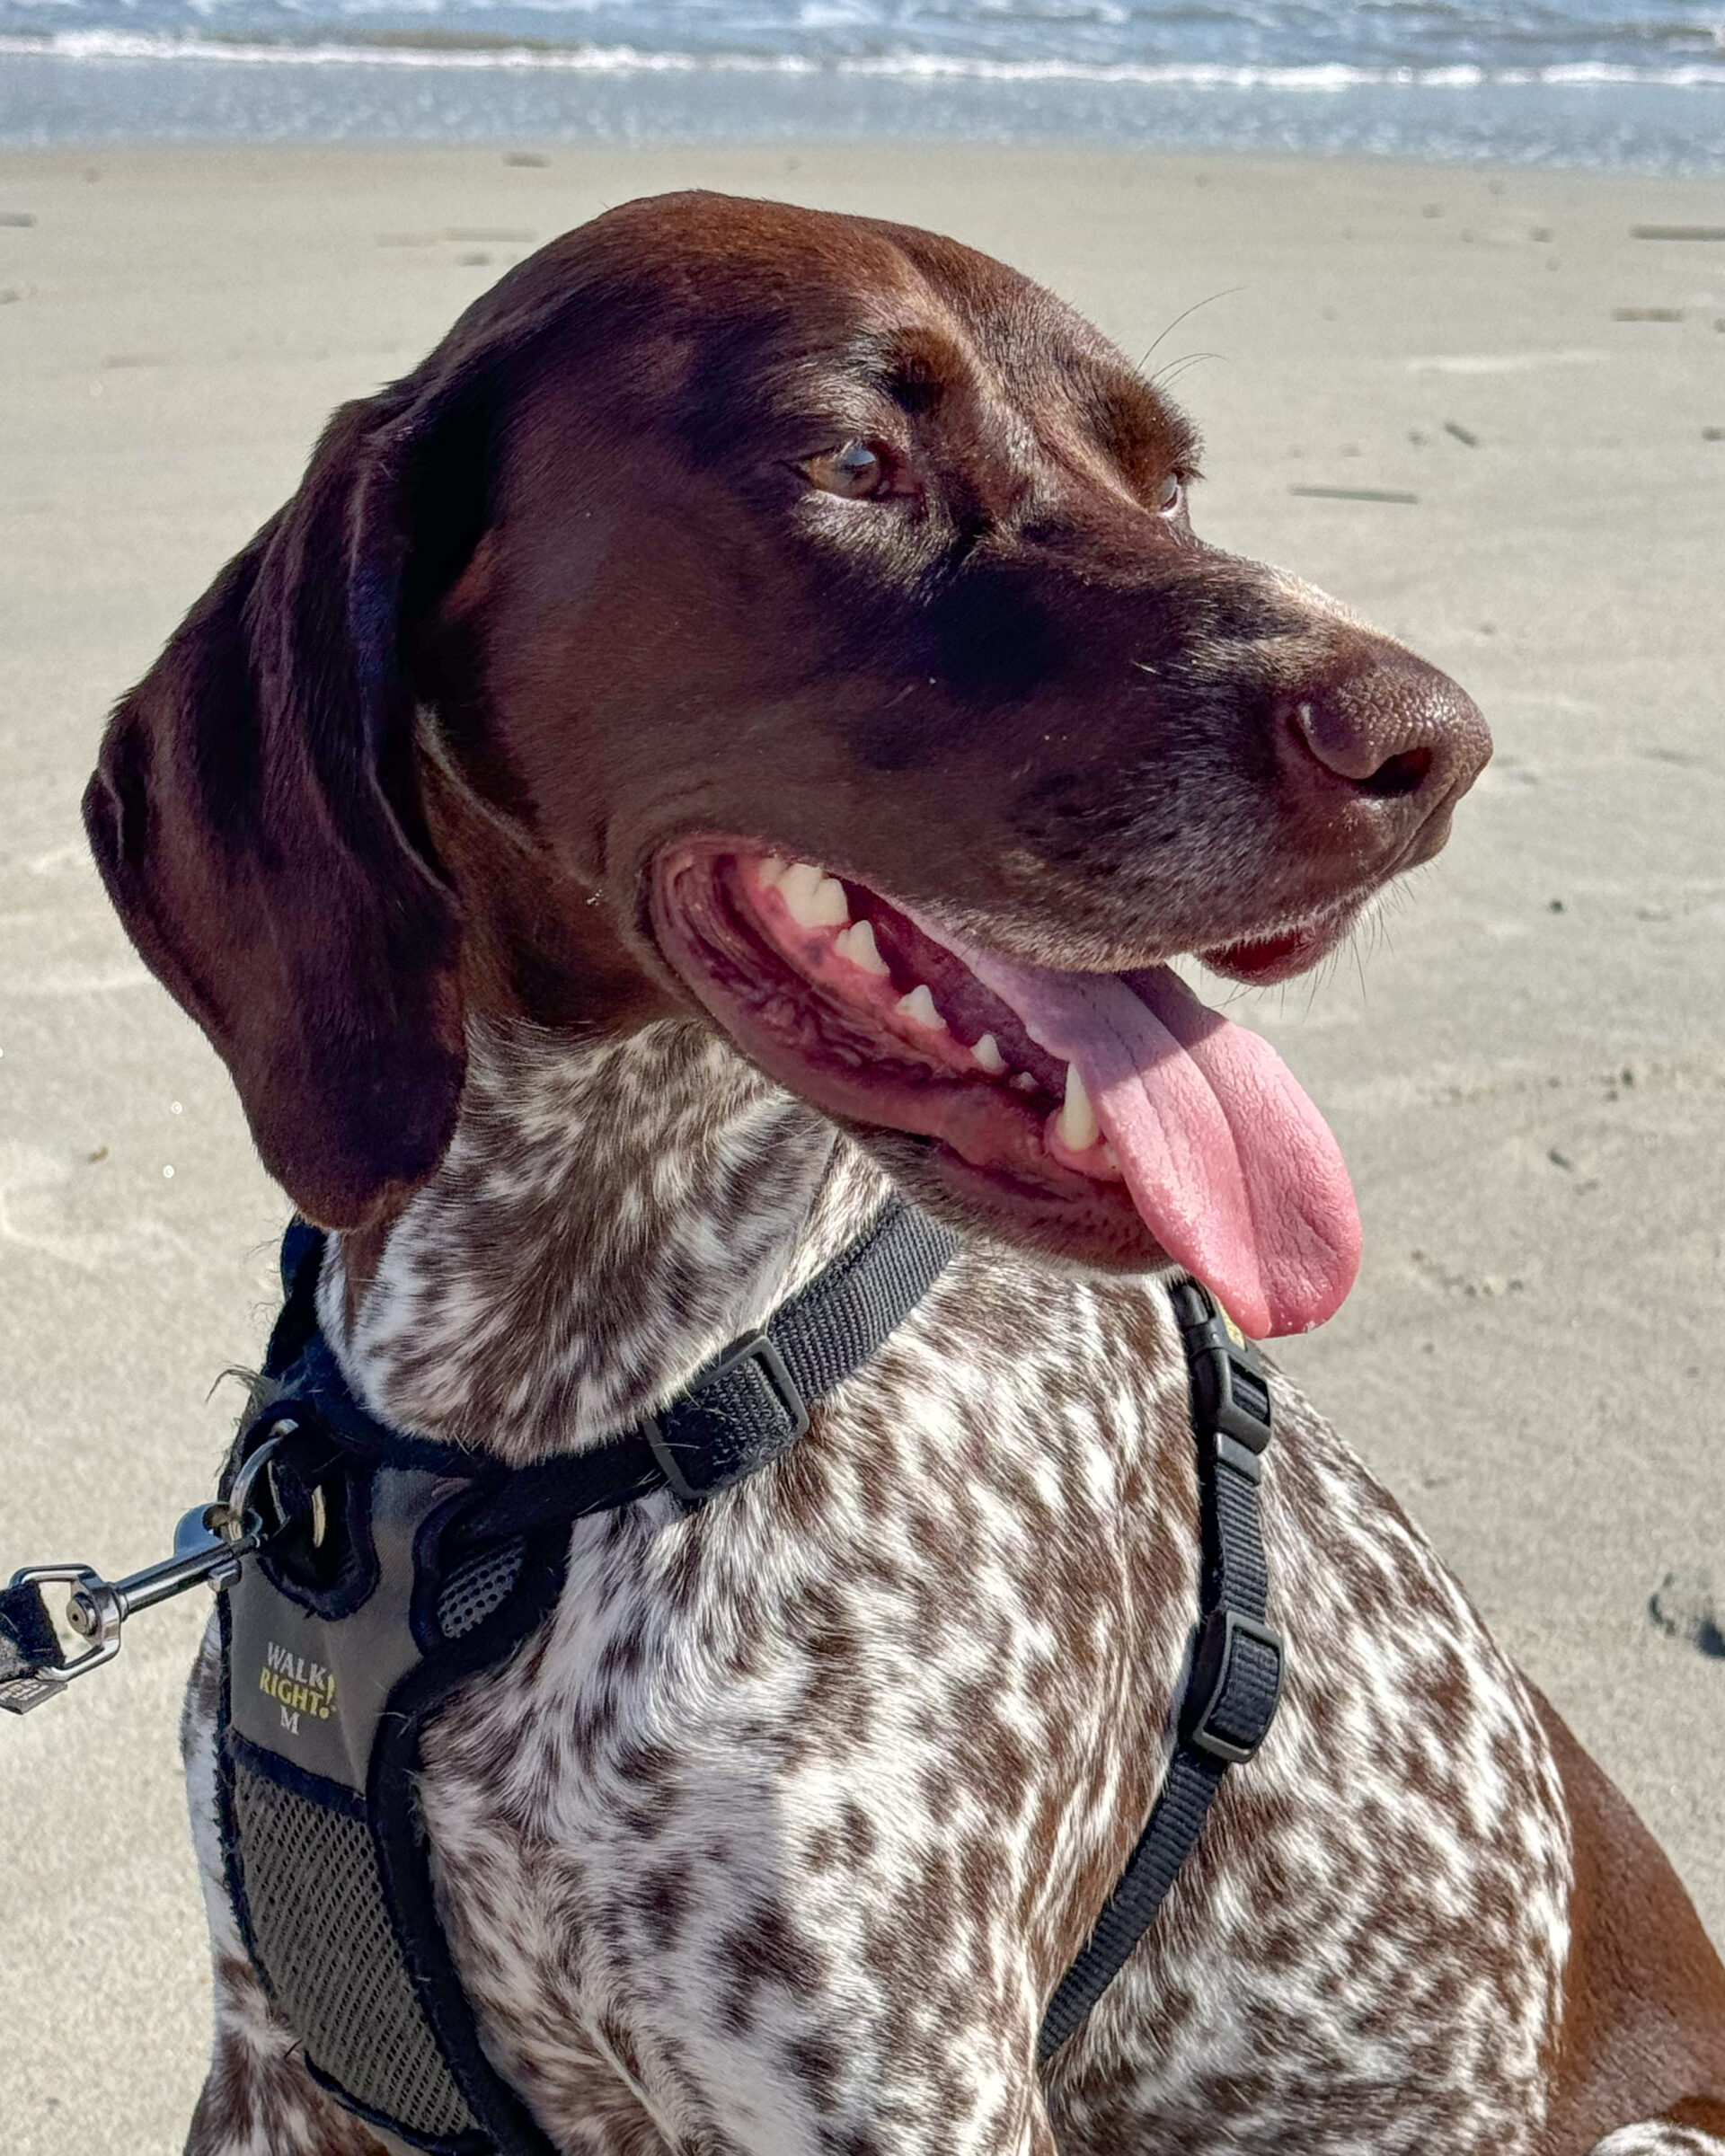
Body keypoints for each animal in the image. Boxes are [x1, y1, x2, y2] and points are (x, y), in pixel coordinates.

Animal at [84, 190, 1725, 2156]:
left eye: (1168, 484)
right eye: (854, 460)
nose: (1434, 746)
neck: (539, 1421)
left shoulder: (895, 2088)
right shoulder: (276, 2070)